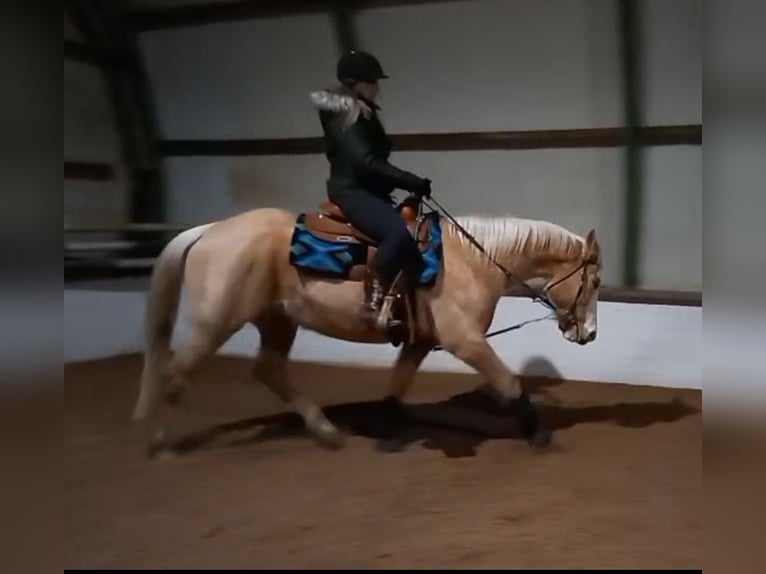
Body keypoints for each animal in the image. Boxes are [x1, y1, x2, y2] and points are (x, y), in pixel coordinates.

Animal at [131, 197, 602, 453]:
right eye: (595, 281)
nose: (590, 334)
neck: (473, 261)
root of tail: (210, 230)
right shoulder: (465, 341)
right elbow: (508, 383)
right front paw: (537, 433)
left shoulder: (419, 341)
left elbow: (398, 384)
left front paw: (387, 430)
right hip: (216, 321)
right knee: (173, 369)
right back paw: (159, 442)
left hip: (277, 319)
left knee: (267, 369)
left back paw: (326, 432)